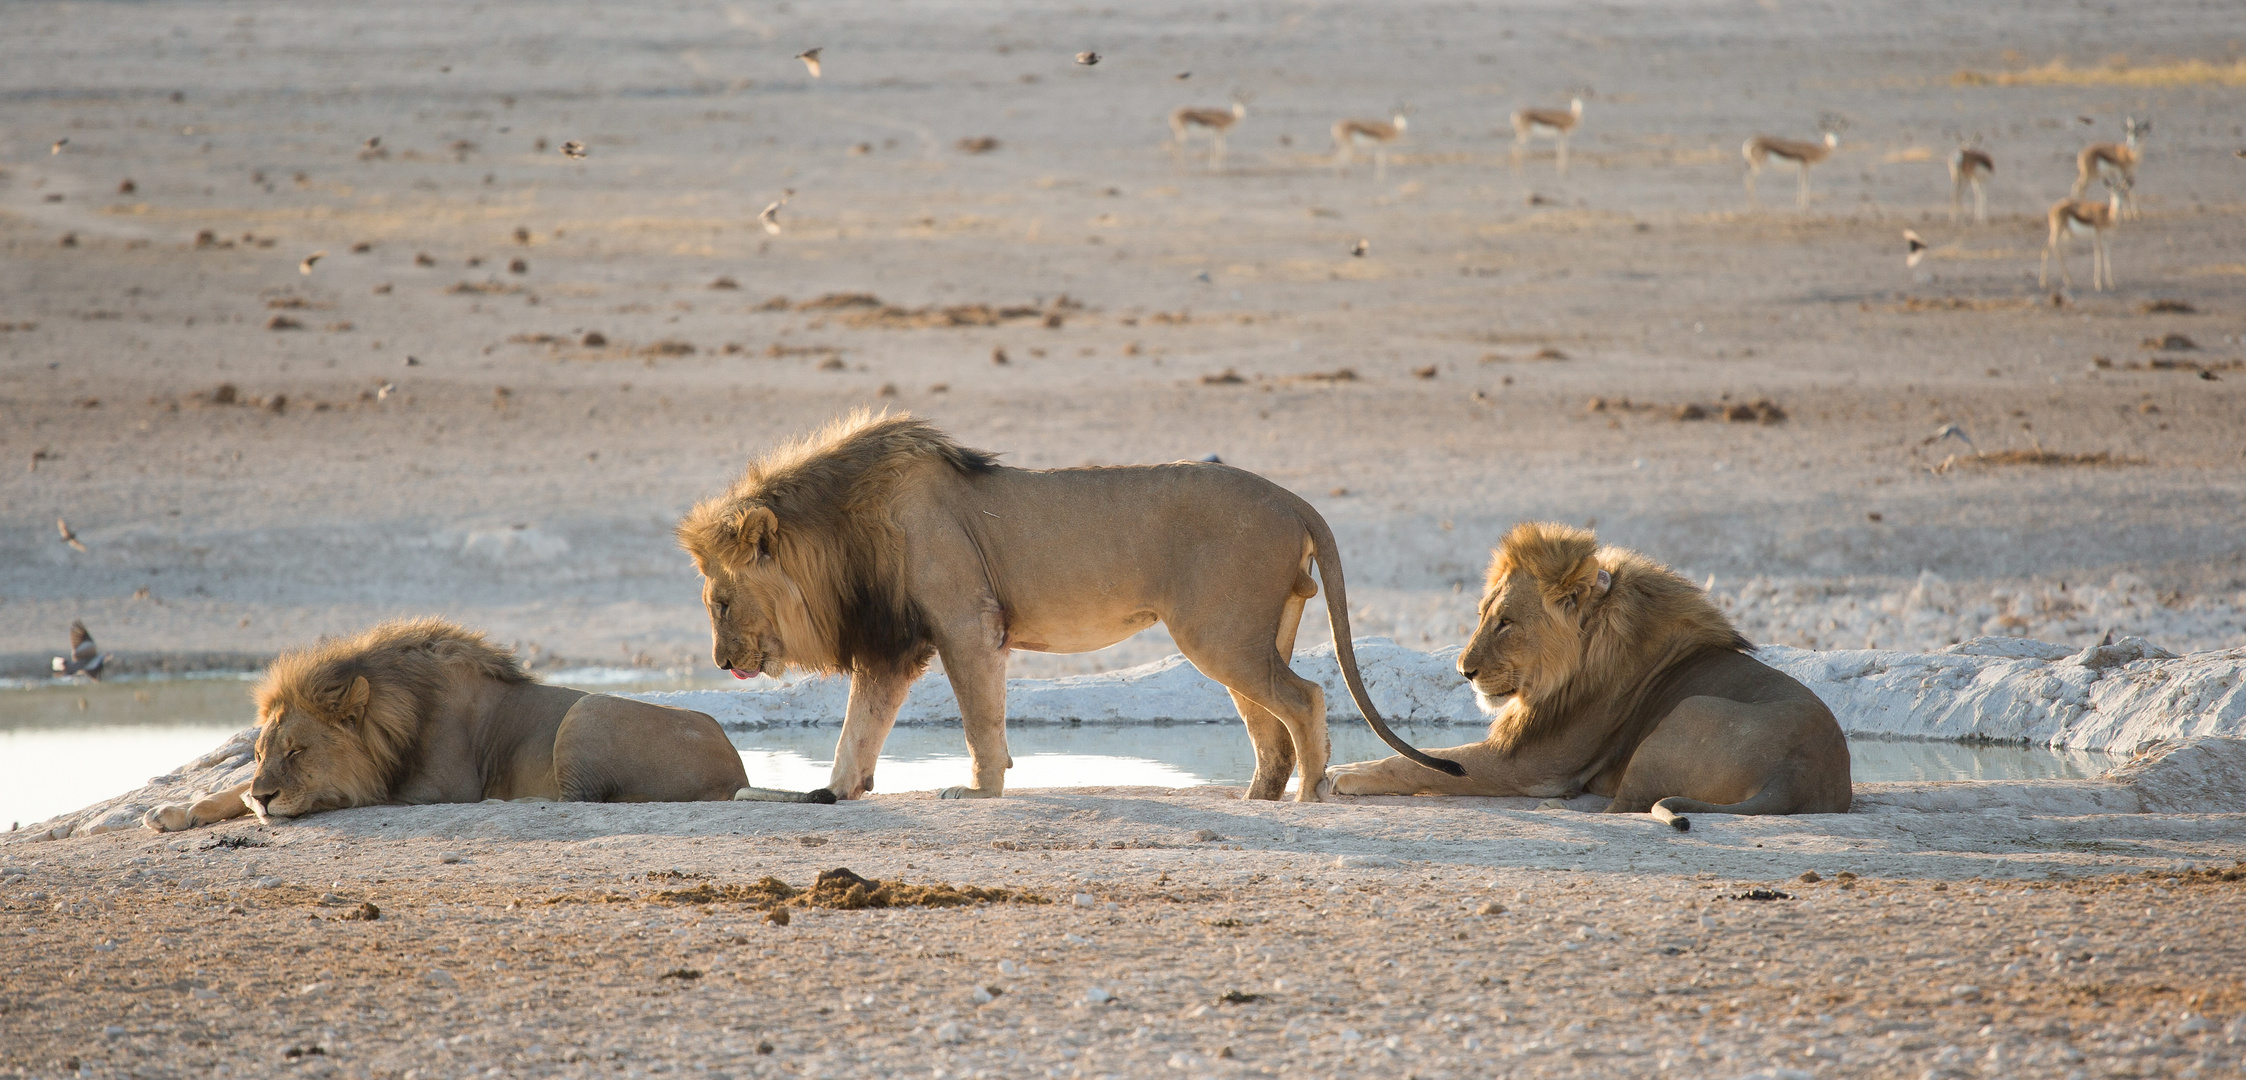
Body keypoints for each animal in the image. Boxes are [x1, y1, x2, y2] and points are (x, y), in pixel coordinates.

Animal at [131, 615, 822, 826]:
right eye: (259, 754)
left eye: (299, 751)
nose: (268, 794)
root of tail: (735, 768)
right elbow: (228, 794)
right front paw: (175, 811)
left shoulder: (433, 787)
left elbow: (346, 795)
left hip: (585, 710)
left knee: (576, 798)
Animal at [673, 408, 1464, 794]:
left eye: (720, 602)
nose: (717, 661)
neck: (839, 533)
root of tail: (1292, 497)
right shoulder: (894, 646)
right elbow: (858, 731)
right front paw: (832, 793)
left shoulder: (964, 625)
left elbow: (979, 722)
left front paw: (978, 793)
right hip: (1244, 638)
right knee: (1269, 728)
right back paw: (1258, 801)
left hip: (1220, 633)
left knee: (1306, 701)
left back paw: (1309, 795)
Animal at [1320, 520, 1850, 826]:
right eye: (1482, 615)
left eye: (1506, 622)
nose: (1463, 671)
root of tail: (1794, 772)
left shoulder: (1527, 763)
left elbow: (1420, 761)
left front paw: (1346, 773)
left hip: (1686, 711)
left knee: (1625, 806)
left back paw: (1555, 807)